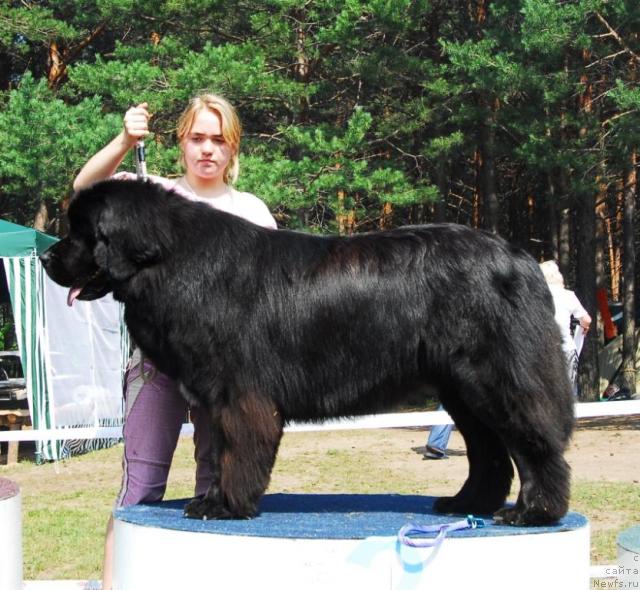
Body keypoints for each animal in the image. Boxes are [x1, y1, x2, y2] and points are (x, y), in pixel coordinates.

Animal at [41, 180, 576, 528]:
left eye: (81, 231)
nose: (46, 256)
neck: (173, 259)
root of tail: (521, 258)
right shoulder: (219, 396)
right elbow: (220, 451)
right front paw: (216, 499)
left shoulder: (239, 394)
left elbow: (235, 451)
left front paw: (224, 505)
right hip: (460, 390)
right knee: (489, 452)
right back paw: (466, 504)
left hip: (495, 380)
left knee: (532, 444)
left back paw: (533, 512)